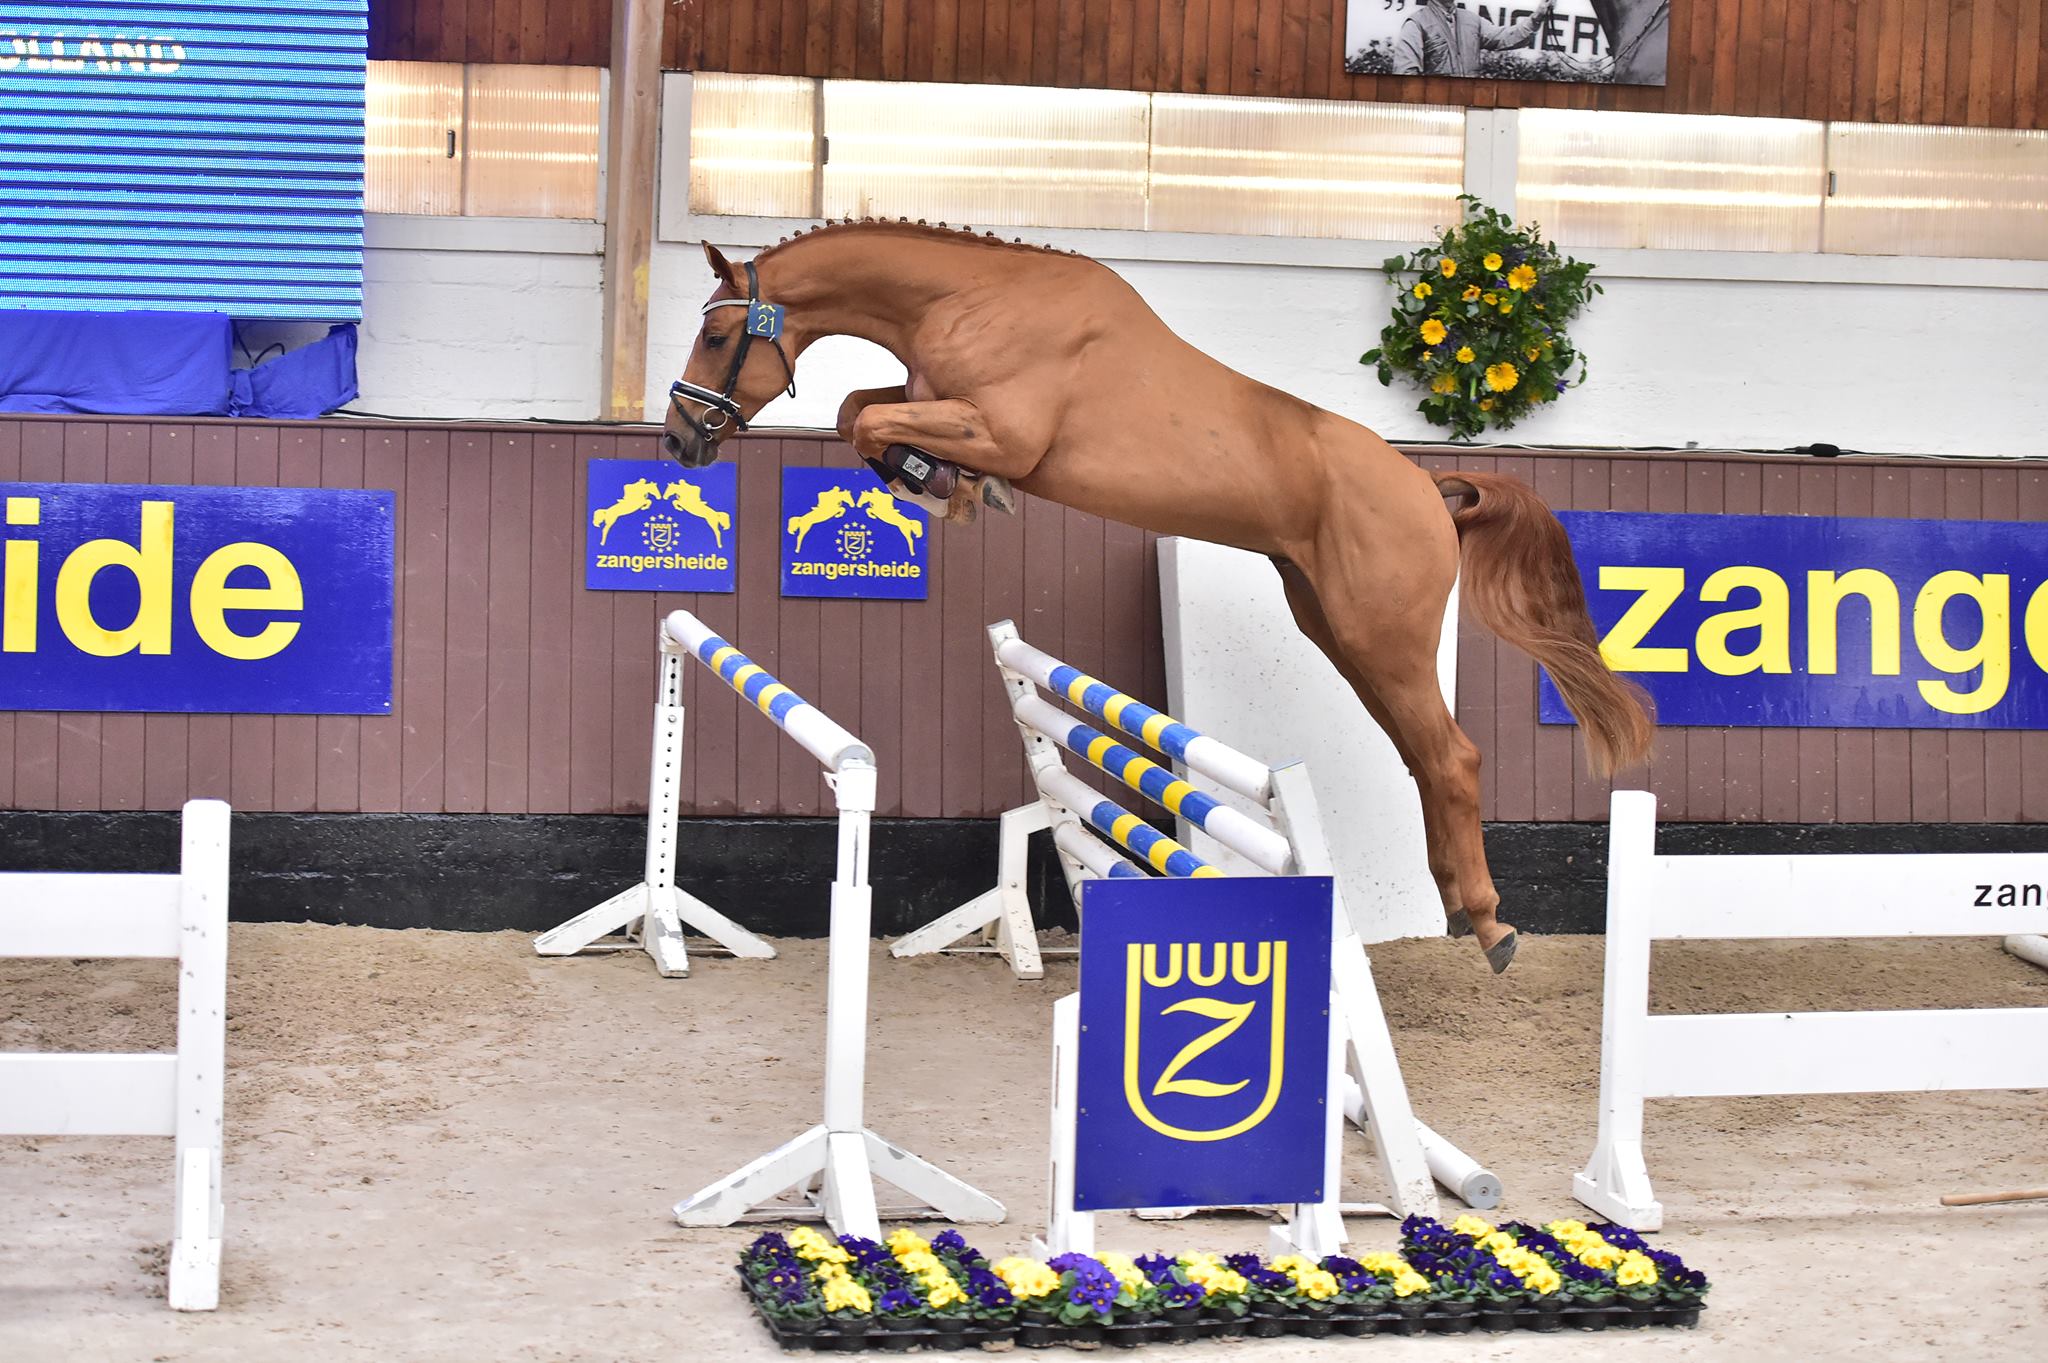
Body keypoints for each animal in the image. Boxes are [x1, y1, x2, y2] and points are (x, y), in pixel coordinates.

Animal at [662, 220, 1652, 974]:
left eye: (715, 338)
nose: (678, 440)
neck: (969, 298)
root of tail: (1426, 486)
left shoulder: (1002, 430)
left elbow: (870, 417)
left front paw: (951, 486)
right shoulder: (934, 397)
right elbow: (858, 410)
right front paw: (939, 484)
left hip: (1383, 635)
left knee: (1451, 756)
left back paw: (1490, 923)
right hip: (1339, 631)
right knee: (1424, 755)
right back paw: (1457, 905)